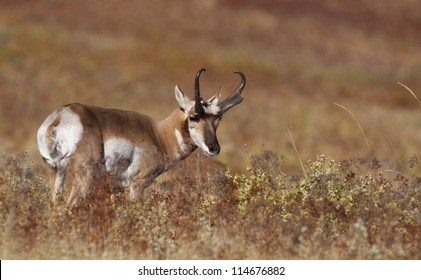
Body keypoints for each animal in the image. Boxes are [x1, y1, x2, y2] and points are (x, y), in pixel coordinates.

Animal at [37, 69, 246, 207]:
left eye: (219, 118)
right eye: (194, 116)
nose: (213, 148)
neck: (159, 135)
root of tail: (61, 115)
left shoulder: (117, 188)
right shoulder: (138, 184)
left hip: (55, 171)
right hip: (84, 177)